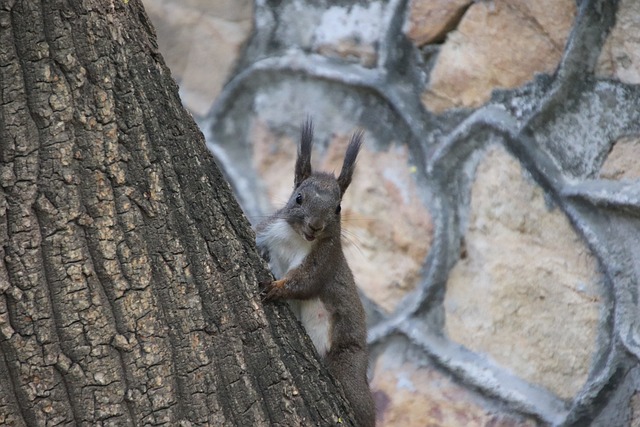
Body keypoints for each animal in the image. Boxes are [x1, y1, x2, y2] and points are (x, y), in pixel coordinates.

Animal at [255, 118, 376, 426]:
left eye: (338, 207)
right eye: (298, 198)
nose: (315, 226)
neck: (296, 239)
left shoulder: (325, 259)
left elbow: (305, 282)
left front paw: (276, 288)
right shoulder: (266, 232)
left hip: (347, 368)